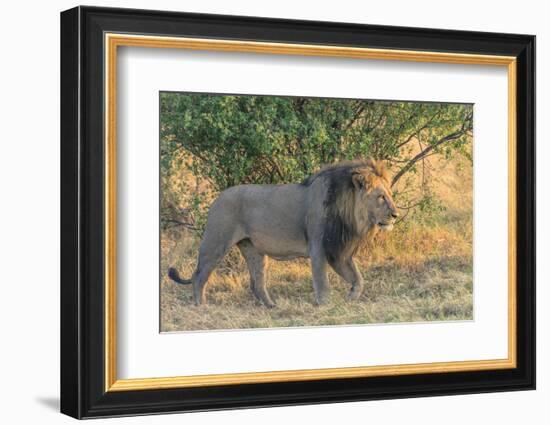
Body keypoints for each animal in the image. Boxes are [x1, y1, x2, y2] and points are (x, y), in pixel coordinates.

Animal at [169, 157, 402, 306]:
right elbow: (322, 282)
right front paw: (326, 305)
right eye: (381, 197)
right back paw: (201, 306)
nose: (395, 215)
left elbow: (358, 279)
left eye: (390, 195)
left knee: (257, 283)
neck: (350, 214)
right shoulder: (319, 247)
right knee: (199, 276)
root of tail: (217, 198)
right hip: (216, 243)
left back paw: (272, 306)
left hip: (254, 250)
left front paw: (351, 298)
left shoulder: (338, 251)